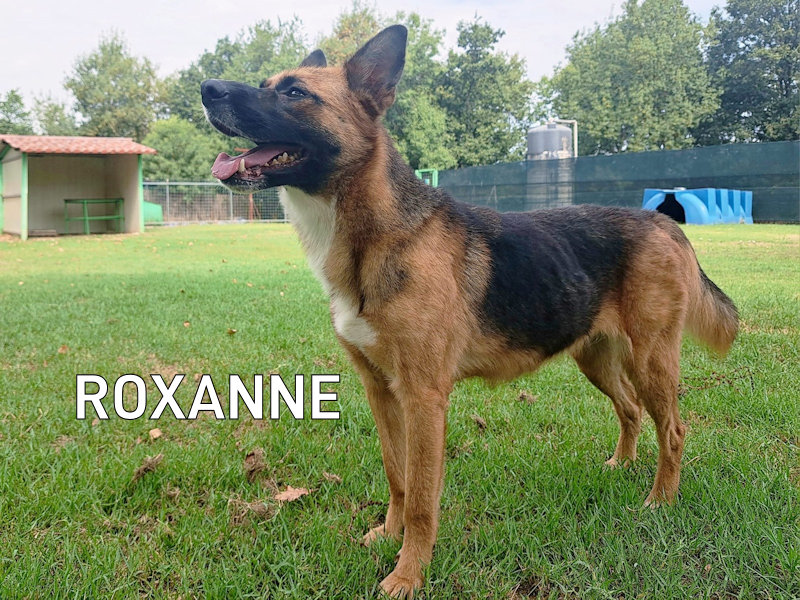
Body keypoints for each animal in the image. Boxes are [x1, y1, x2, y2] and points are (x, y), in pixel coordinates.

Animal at [201, 25, 738, 598]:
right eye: (268, 85)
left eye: (295, 93)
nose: (207, 89)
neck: (379, 236)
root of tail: (665, 223)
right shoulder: (381, 391)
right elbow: (396, 477)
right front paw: (388, 535)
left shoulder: (424, 398)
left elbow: (421, 497)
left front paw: (408, 573)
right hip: (596, 360)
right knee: (631, 411)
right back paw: (621, 465)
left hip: (650, 361)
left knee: (673, 430)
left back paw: (661, 500)